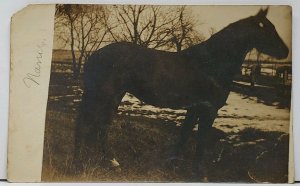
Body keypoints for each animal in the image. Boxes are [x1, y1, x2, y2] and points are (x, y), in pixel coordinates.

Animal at [74, 7, 288, 174]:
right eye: (267, 29)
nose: (285, 52)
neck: (212, 62)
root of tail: (95, 55)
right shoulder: (209, 109)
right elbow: (200, 142)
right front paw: (199, 174)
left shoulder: (195, 108)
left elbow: (184, 135)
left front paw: (172, 164)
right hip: (102, 95)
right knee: (85, 124)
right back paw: (80, 164)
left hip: (114, 96)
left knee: (101, 127)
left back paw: (109, 162)